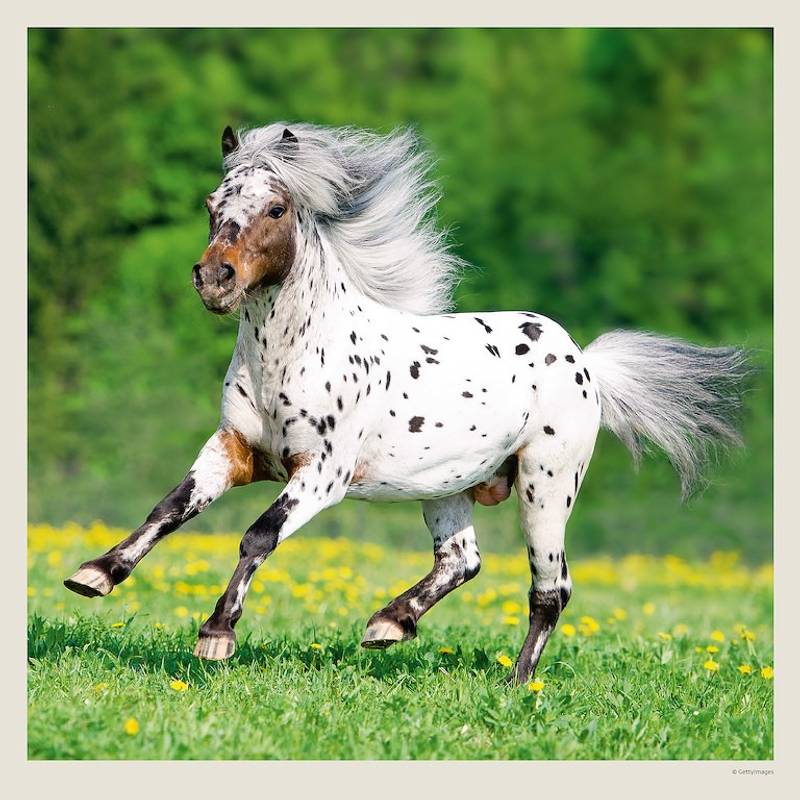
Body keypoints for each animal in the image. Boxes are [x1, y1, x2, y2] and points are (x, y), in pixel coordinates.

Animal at [64, 122, 748, 684]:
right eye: (212, 205)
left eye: (276, 207)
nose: (214, 280)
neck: (293, 356)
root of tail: (584, 362)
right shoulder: (232, 451)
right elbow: (170, 508)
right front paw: (95, 574)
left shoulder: (321, 476)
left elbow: (257, 536)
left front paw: (216, 634)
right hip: (447, 486)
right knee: (462, 561)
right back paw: (388, 624)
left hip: (546, 485)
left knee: (550, 589)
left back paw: (515, 684)